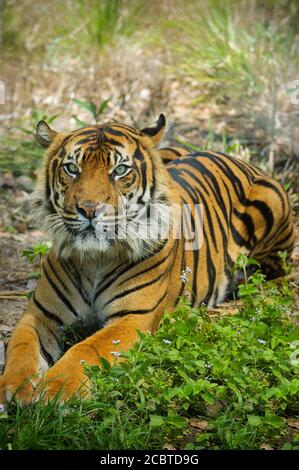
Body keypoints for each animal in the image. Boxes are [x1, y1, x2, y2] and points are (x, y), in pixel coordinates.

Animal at [0, 114, 296, 404]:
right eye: (72, 168)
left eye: (120, 170)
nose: (89, 209)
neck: (95, 259)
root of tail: (229, 155)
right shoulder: (40, 314)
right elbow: (21, 348)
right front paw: (13, 387)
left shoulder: (133, 318)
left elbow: (86, 348)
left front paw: (55, 388)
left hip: (273, 207)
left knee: (277, 273)